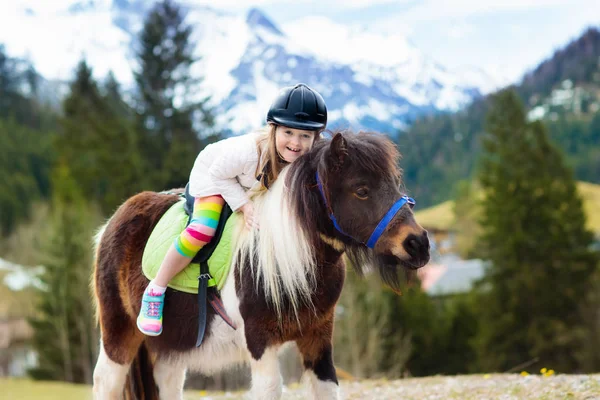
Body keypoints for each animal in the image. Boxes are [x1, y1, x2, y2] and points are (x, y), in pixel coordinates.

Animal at [91, 131, 428, 400]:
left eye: (394, 183)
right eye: (361, 190)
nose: (418, 244)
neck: (287, 257)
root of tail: (112, 222)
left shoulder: (318, 338)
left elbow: (327, 388)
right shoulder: (260, 342)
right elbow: (269, 389)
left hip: (171, 347)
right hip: (119, 333)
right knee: (105, 381)